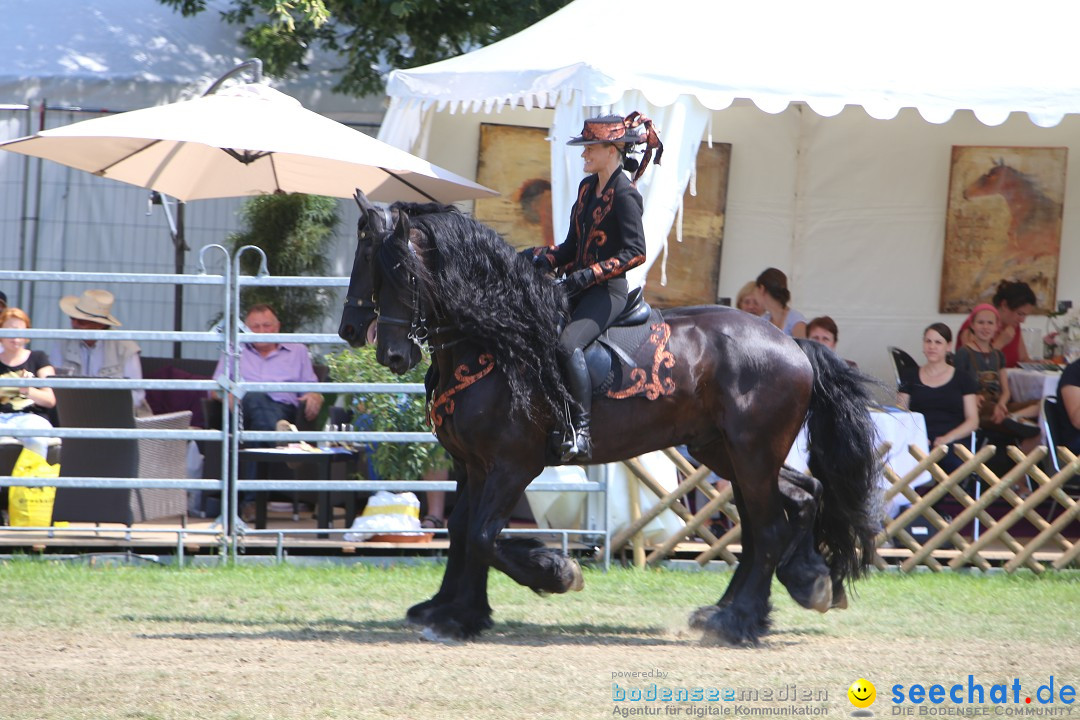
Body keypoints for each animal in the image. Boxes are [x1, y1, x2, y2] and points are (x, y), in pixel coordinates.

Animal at [341, 194, 881, 643]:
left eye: (394, 268)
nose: (383, 349)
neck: (498, 342)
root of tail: (792, 344)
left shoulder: (513, 465)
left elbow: (483, 535)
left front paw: (556, 571)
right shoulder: (471, 464)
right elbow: (462, 531)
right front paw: (454, 612)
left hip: (751, 454)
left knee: (768, 528)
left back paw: (737, 620)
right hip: (725, 452)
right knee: (792, 501)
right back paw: (793, 586)